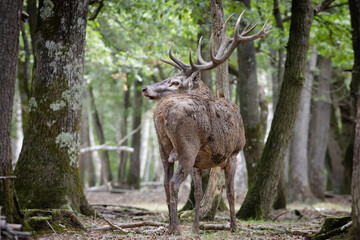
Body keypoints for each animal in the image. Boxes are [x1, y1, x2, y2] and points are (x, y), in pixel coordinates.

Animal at [141, 11, 270, 234]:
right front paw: (234, 226)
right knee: (174, 183)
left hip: (163, 147)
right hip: (187, 147)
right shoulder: (234, 152)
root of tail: (162, 113)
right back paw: (175, 229)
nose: (145, 88)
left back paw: (170, 226)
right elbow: (230, 192)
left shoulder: (201, 163)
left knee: (166, 182)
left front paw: (196, 227)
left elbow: (199, 194)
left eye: (175, 82)